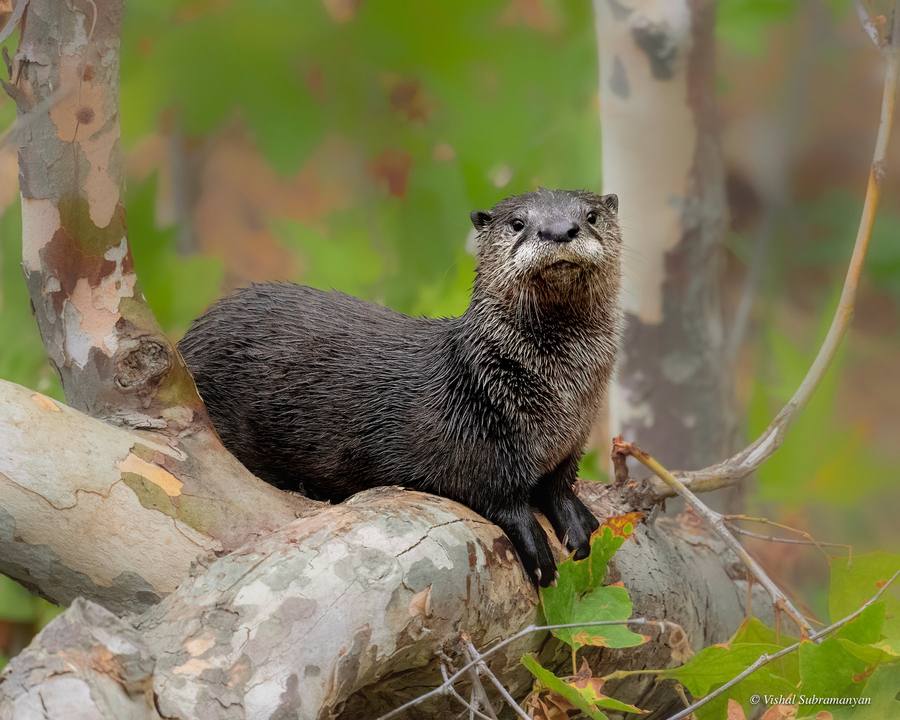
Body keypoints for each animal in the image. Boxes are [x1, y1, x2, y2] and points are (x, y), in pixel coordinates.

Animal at [179, 188, 622, 587]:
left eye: (591, 216)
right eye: (518, 223)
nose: (559, 231)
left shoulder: (574, 438)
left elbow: (559, 483)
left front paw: (576, 518)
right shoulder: (464, 437)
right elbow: (492, 493)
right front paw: (533, 544)